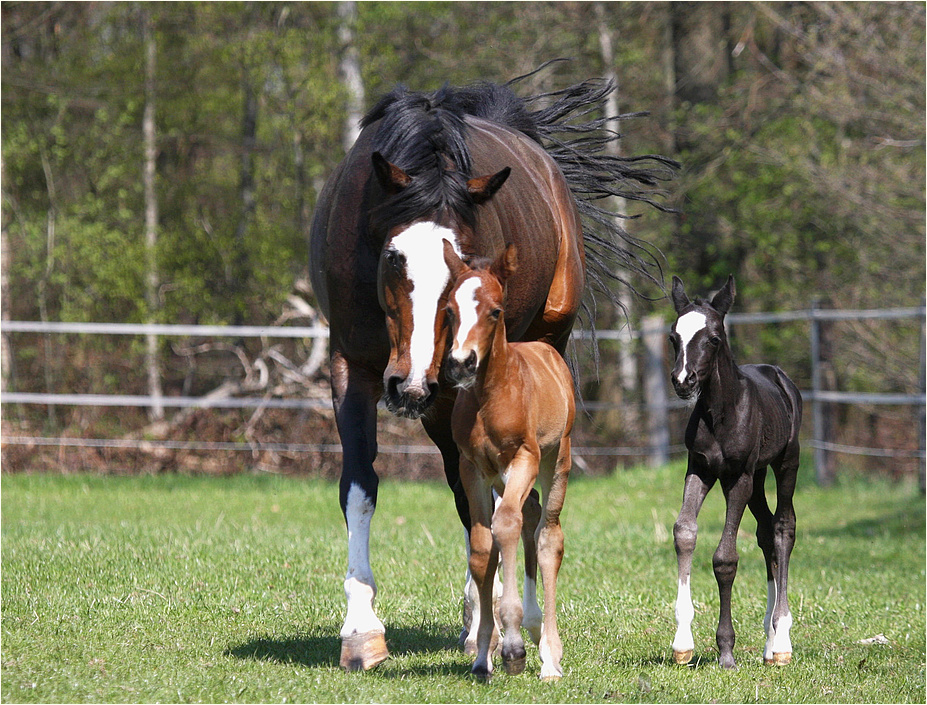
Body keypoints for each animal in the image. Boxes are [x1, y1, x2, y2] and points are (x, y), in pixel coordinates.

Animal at [442, 239, 572, 680]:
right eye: (449, 310)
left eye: (495, 310)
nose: (461, 362)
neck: (491, 395)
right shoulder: (472, 468)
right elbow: (484, 545)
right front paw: (483, 653)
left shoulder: (524, 457)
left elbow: (507, 525)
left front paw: (513, 647)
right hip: (503, 476)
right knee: (530, 516)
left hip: (555, 460)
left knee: (547, 535)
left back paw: (549, 654)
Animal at [668, 274, 804, 664]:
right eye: (673, 337)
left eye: (713, 338)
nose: (683, 380)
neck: (721, 412)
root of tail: (779, 376)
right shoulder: (699, 469)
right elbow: (684, 532)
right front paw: (683, 643)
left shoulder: (736, 477)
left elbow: (725, 558)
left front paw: (725, 650)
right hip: (757, 478)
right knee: (766, 531)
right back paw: (769, 643)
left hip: (785, 463)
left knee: (783, 528)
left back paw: (782, 641)